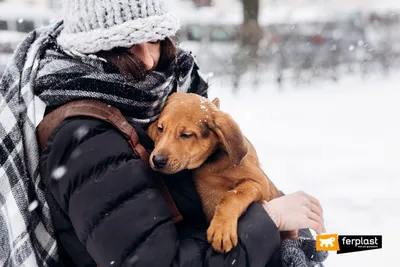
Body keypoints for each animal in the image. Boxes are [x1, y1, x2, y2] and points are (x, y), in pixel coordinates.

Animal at [148, 93, 296, 254]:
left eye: (186, 134)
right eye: (160, 128)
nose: (157, 160)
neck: (212, 161)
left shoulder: (259, 182)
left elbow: (232, 196)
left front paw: (222, 229)